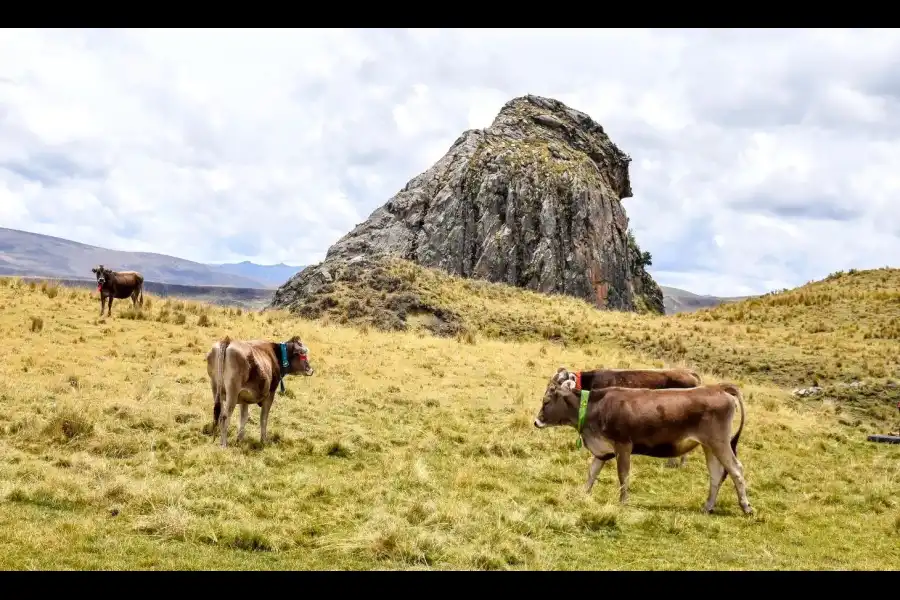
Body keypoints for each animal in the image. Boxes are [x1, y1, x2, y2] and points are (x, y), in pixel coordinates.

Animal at [536, 380, 752, 516]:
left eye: (546, 401)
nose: (536, 422)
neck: (595, 408)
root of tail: (718, 387)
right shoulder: (602, 450)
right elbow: (591, 473)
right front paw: (582, 494)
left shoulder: (623, 445)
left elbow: (623, 475)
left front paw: (623, 501)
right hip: (709, 446)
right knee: (716, 474)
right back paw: (707, 507)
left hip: (719, 442)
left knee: (736, 470)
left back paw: (746, 507)